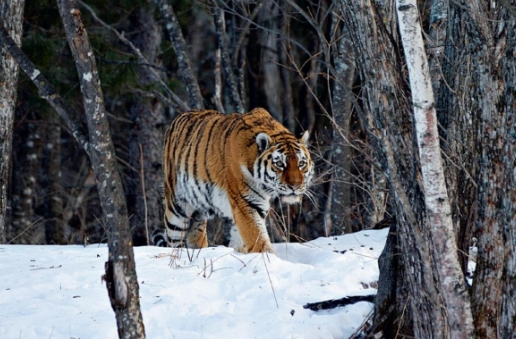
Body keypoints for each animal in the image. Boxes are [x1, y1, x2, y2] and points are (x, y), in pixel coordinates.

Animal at [152, 107, 314, 254]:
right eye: (280, 164)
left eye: (301, 163)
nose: (295, 186)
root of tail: (178, 118)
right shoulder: (245, 203)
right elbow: (257, 238)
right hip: (176, 209)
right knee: (174, 242)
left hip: (198, 211)